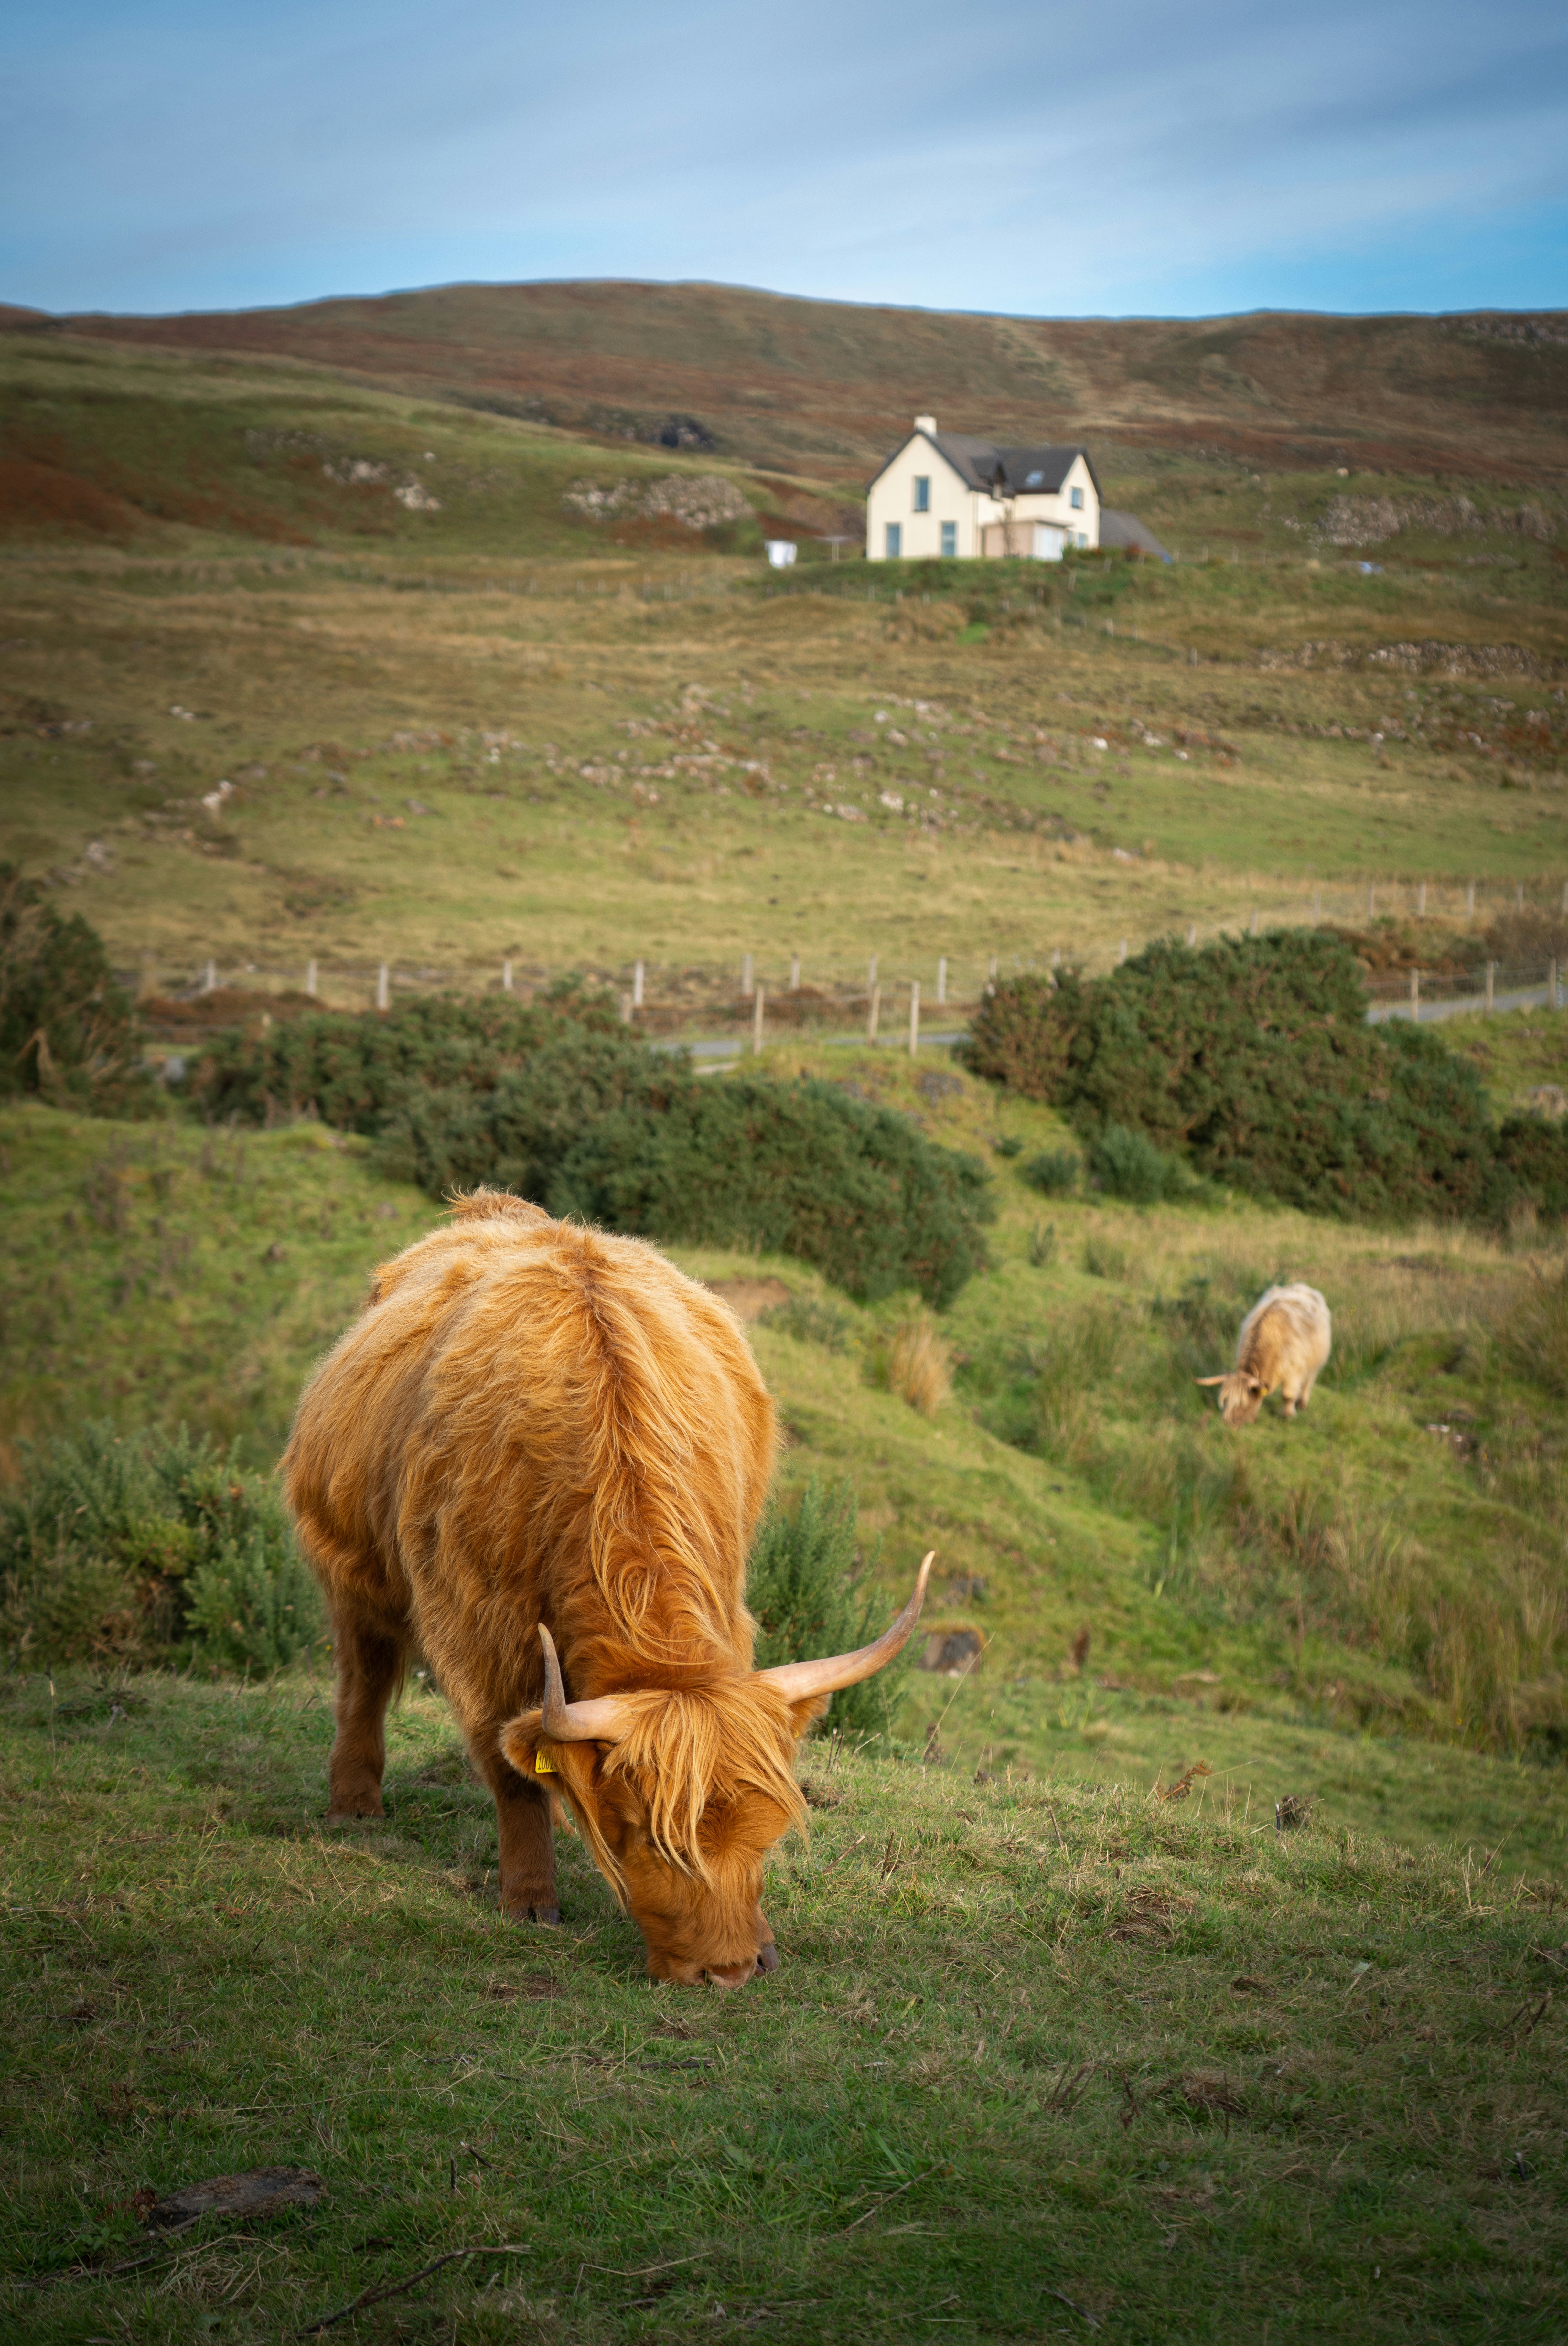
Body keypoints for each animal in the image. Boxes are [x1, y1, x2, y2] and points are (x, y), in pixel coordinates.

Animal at [282, 1191, 930, 1988]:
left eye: (767, 1834)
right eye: (645, 1838)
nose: (730, 1971)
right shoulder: (476, 1630)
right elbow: (512, 1769)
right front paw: (531, 1899)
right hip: (350, 1563)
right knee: (365, 1677)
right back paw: (353, 1805)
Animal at [1196, 1282, 1331, 1426]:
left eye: (1242, 1403)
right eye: (1225, 1400)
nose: (1228, 1422)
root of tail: (1302, 1286)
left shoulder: (1294, 1370)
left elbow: (1288, 1395)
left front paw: (1288, 1415)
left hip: (1316, 1360)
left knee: (1309, 1380)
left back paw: (1302, 1403)